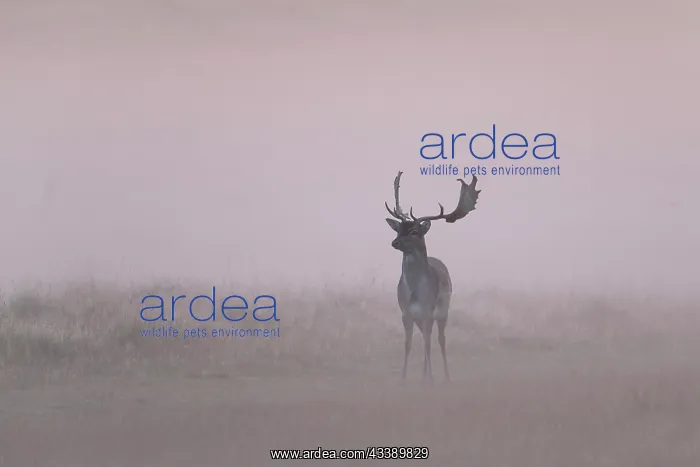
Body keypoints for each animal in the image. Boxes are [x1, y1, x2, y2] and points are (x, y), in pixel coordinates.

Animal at [384, 170, 481, 384]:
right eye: (399, 228)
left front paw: (425, 378)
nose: (395, 242)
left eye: (414, 231)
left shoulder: (428, 310)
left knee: (440, 340)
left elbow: (428, 344)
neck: (414, 291)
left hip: (443, 310)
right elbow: (408, 344)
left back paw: (445, 376)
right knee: (427, 338)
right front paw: (403, 378)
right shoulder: (406, 313)